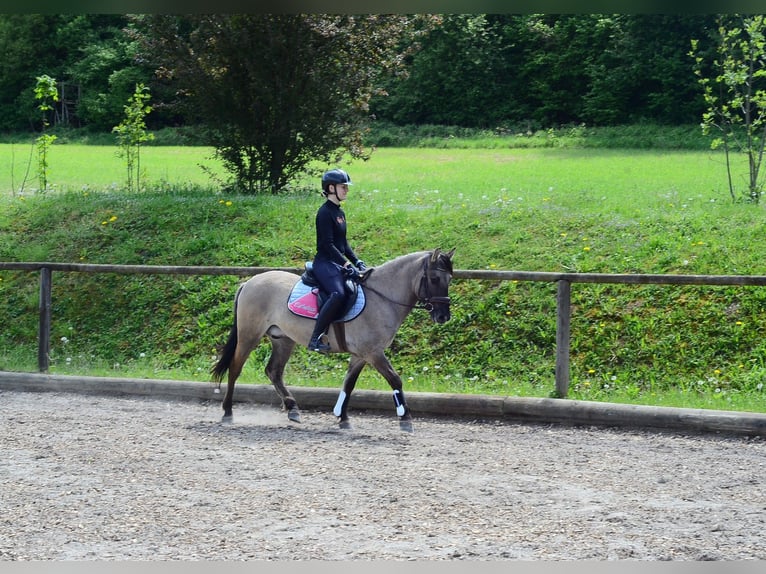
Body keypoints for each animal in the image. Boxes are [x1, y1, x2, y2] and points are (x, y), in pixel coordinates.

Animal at [211, 248, 455, 432]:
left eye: (449, 279)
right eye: (434, 278)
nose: (443, 317)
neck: (382, 298)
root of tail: (249, 282)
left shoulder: (361, 355)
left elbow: (349, 383)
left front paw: (342, 418)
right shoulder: (373, 352)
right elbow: (395, 380)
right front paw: (405, 420)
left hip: (283, 339)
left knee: (274, 371)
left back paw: (292, 409)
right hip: (249, 335)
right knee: (235, 368)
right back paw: (227, 412)